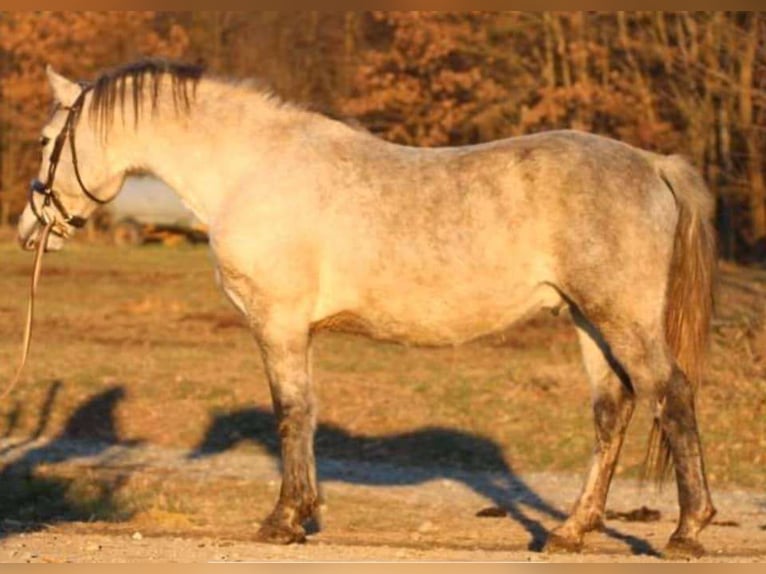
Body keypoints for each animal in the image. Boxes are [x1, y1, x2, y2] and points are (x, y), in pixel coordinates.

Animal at [15, 59, 716, 560]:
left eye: (48, 139)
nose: (28, 228)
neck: (253, 168)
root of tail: (651, 163)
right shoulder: (297, 331)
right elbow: (305, 414)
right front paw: (303, 514)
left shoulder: (277, 323)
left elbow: (291, 413)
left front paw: (283, 520)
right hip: (587, 321)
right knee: (613, 411)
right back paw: (570, 531)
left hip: (621, 318)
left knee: (671, 395)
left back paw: (687, 531)